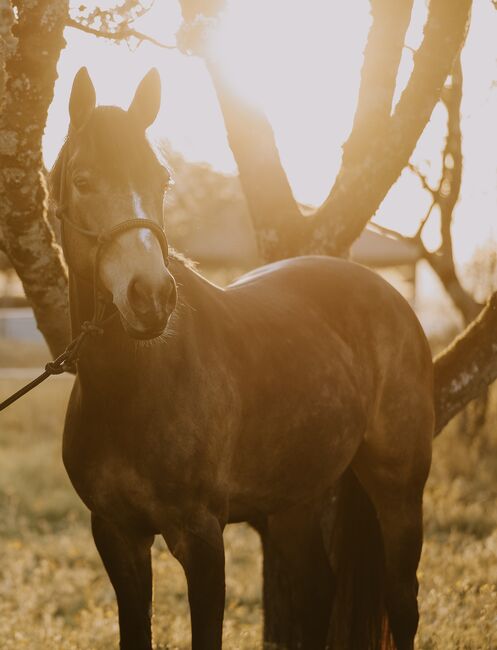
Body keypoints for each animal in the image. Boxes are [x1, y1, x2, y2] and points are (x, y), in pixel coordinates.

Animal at [51, 66, 433, 650]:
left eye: (162, 181)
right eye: (84, 180)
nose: (151, 296)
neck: (133, 387)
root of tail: (390, 297)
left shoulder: (202, 538)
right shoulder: (117, 535)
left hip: (399, 488)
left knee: (402, 604)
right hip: (297, 497)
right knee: (318, 591)